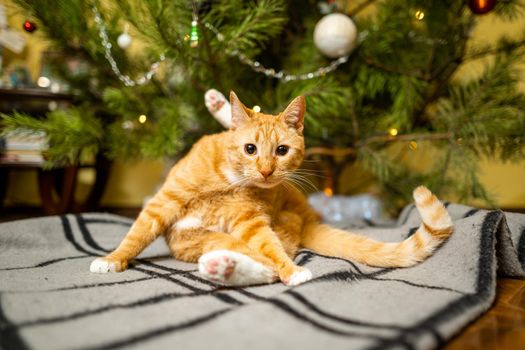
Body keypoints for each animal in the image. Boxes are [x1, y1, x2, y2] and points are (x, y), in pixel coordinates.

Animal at [88, 91, 452, 286]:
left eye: (281, 150)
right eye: (250, 149)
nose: (266, 171)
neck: (229, 178)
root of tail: (309, 221)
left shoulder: (251, 222)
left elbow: (273, 252)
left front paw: (293, 271)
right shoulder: (162, 203)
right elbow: (135, 235)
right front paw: (112, 259)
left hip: (245, 233)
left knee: (267, 265)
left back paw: (224, 268)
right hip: (208, 240)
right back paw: (219, 104)